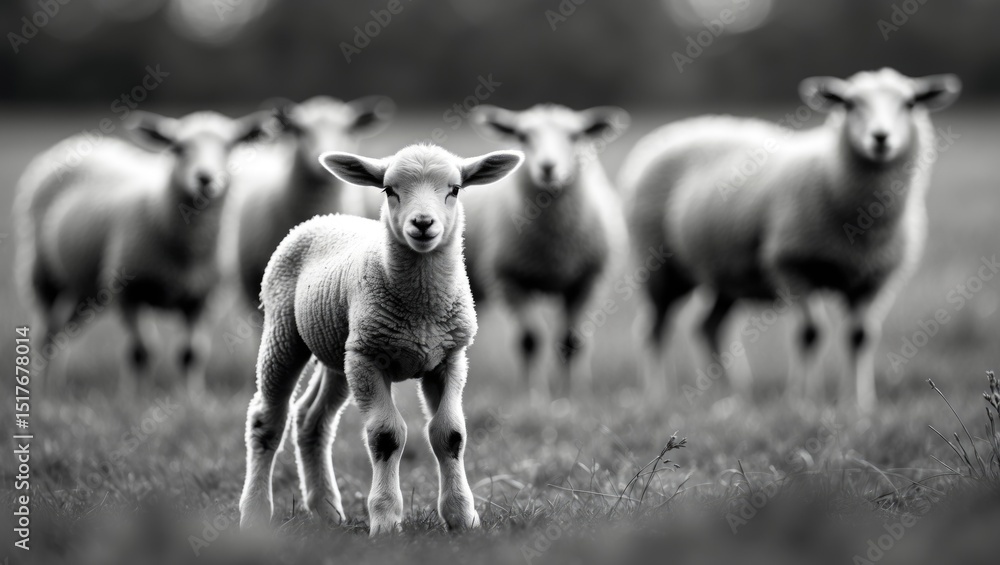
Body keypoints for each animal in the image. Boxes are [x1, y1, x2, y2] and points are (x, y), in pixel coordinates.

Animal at [15, 110, 270, 393]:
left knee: (61, 330)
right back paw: (43, 389)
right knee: (45, 333)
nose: (205, 179)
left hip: (88, 289)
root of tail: (81, 141)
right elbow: (141, 351)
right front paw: (135, 398)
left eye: (229, 147)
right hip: (41, 271)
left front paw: (190, 398)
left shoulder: (201, 299)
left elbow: (191, 354)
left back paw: (55, 385)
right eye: (178, 148)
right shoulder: (129, 292)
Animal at [238, 144, 523, 535]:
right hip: (285, 332)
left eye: (455, 189)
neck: (421, 310)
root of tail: (324, 217)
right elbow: (386, 435)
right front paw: (386, 520)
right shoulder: (369, 359)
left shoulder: (449, 357)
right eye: (389, 190)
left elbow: (450, 434)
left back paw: (327, 510)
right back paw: (253, 514)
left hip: (339, 352)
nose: (422, 223)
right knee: (267, 418)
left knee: (311, 418)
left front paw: (462, 517)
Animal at [463, 104, 630, 400]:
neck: (555, 248)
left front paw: (573, 394)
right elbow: (530, 340)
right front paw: (533, 395)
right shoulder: (510, 279)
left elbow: (571, 341)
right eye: (522, 136)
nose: (548, 167)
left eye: (575, 136)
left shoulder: (586, 281)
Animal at [621, 68, 961, 411]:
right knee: (654, 330)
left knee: (708, 327)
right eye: (849, 104)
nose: (880, 138)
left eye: (910, 103)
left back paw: (731, 394)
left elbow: (861, 337)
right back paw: (658, 395)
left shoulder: (873, 278)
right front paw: (802, 400)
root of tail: (675, 131)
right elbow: (809, 333)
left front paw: (859, 404)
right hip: (659, 266)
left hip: (727, 271)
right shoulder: (793, 265)